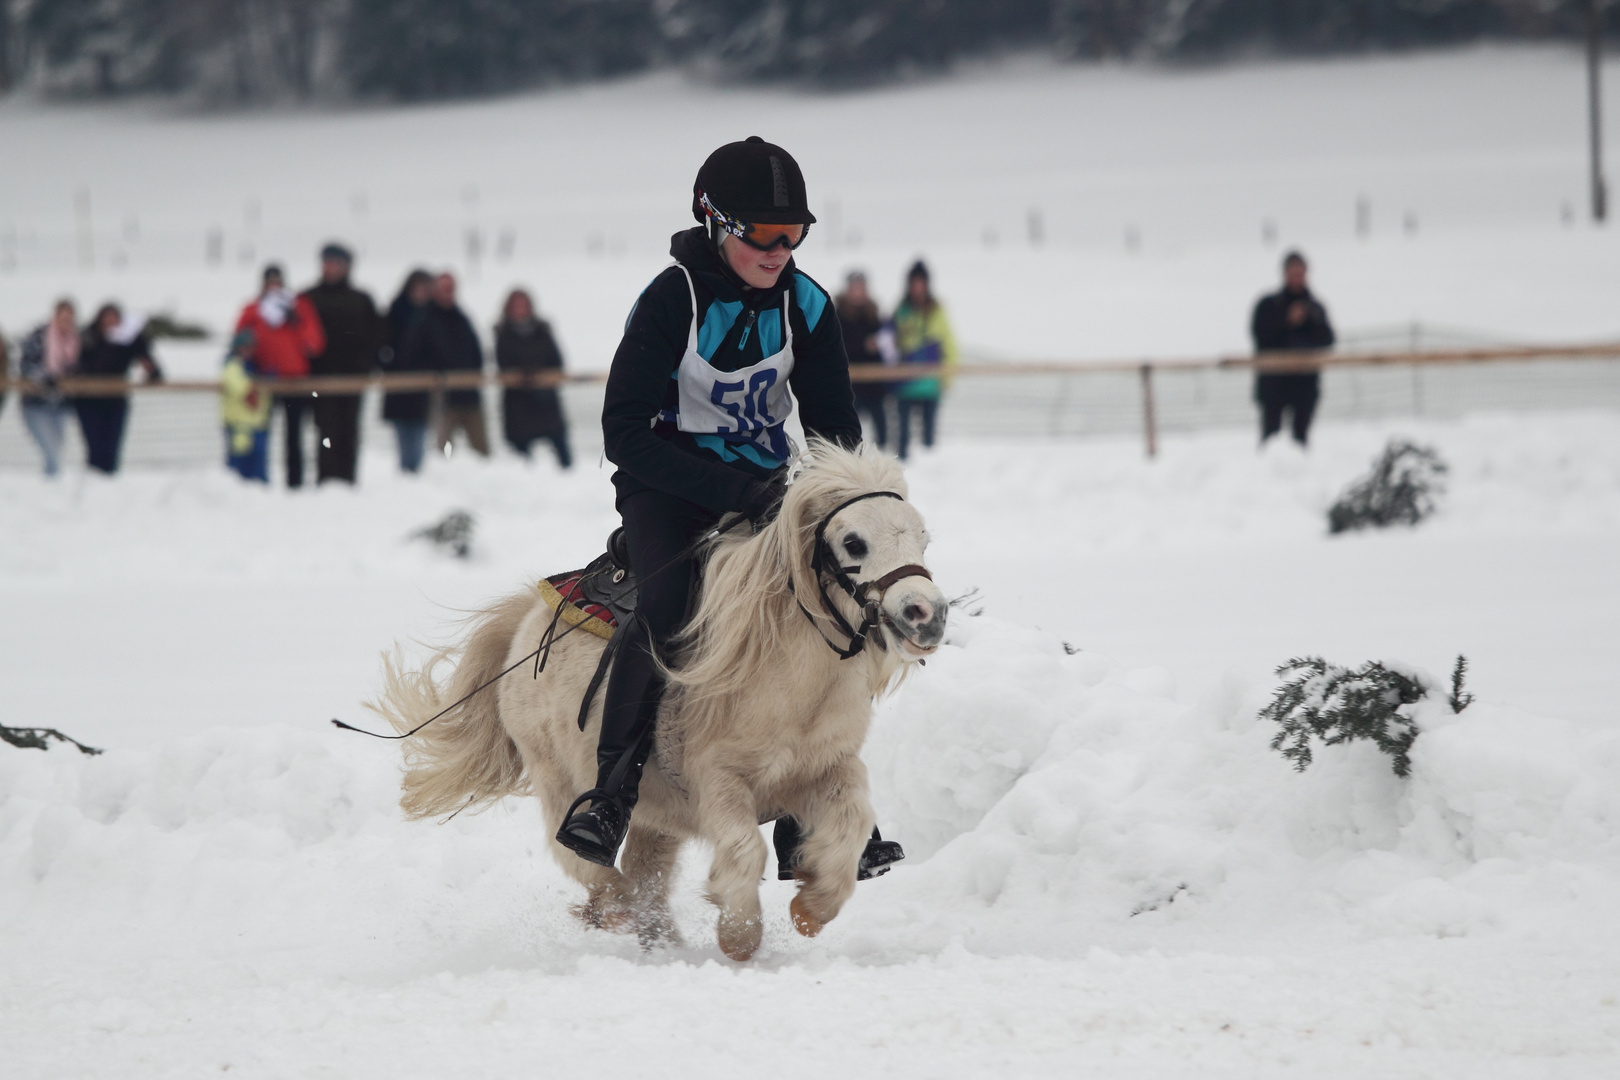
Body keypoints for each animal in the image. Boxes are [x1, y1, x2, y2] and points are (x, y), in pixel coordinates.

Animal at [370, 443, 946, 958]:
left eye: (923, 538)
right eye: (853, 542)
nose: (927, 614)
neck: (789, 680)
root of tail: (528, 620)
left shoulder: (827, 768)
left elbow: (851, 825)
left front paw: (812, 908)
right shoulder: (718, 779)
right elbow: (745, 849)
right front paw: (739, 935)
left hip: (654, 814)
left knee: (646, 875)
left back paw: (658, 938)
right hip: (559, 777)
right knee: (586, 861)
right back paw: (613, 905)